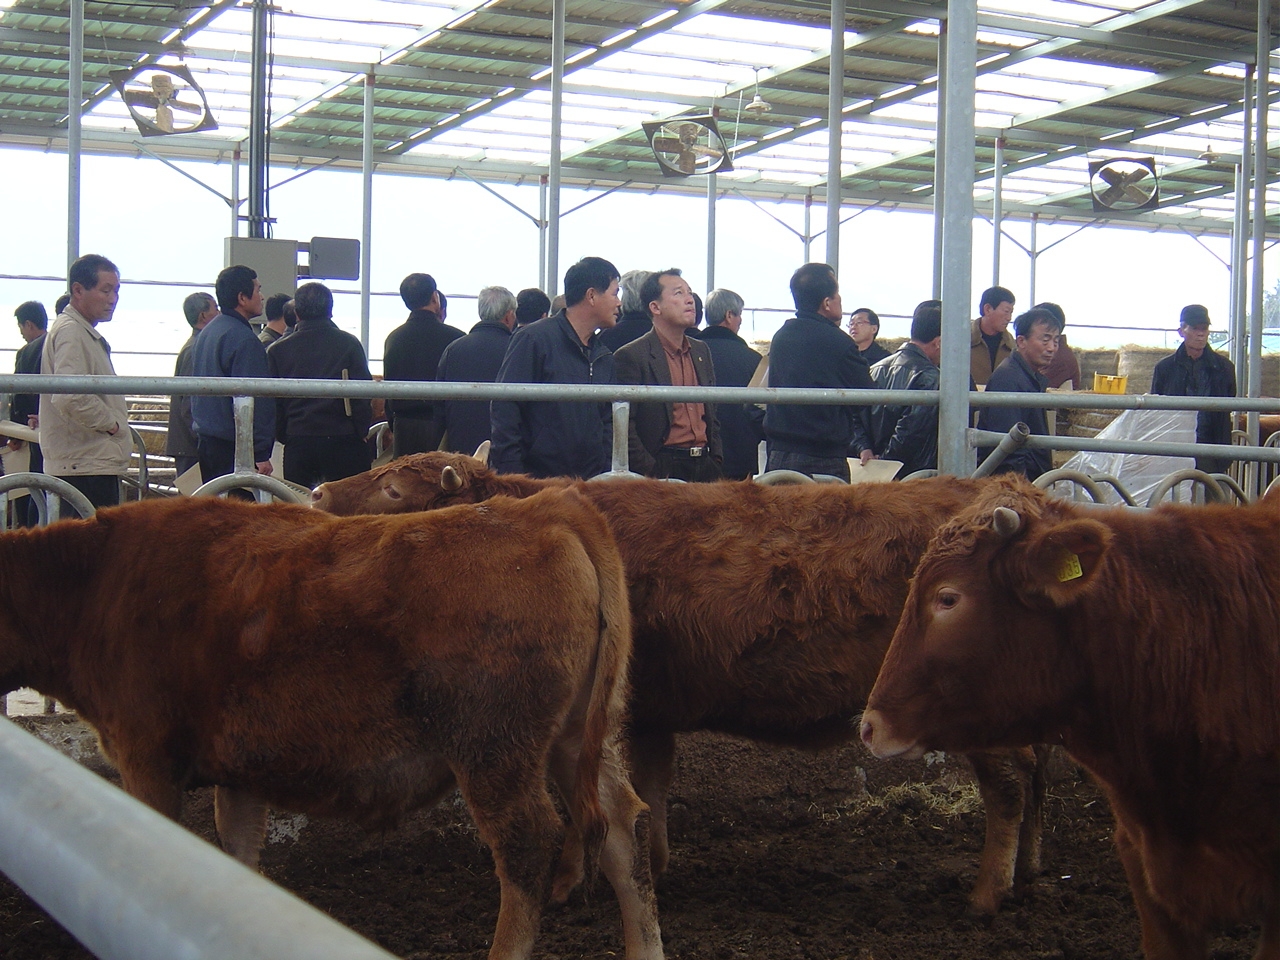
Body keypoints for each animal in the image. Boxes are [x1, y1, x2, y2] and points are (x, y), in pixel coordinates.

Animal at [7, 491, 670, 960]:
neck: (93, 584)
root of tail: (546, 508)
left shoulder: (145, 758)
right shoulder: (239, 770)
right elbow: (237, 851)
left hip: (493, 749)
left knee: (527, 843)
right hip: (575, 737)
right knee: (620, 829)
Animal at [312, 453, 1049, 916]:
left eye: (393, 490)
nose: (316, 491)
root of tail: (1019, 500)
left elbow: (581, 796)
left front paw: (570, 882)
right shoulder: (648, 717)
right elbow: (650, 791)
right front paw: (653, 864)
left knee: (1012, 783)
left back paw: (987, 894)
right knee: (1037, 773)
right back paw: (1029, 875)